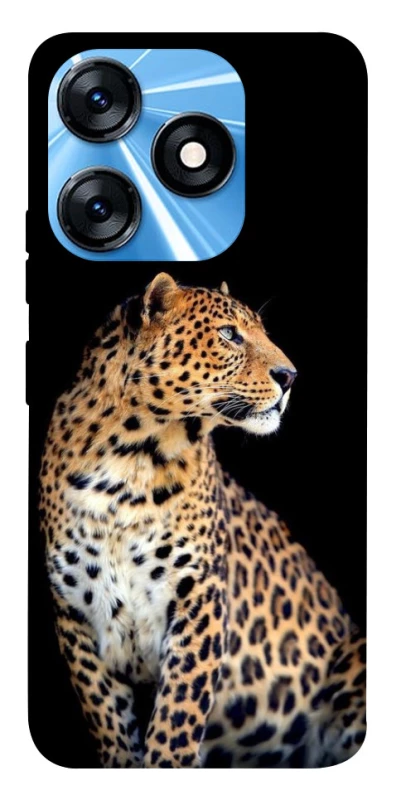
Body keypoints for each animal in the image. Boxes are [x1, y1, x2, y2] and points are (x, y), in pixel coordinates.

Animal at [39, 272, 366, 768]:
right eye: (229, 334)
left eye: (262, 331)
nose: (290, 376)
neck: (129, 460)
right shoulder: (76, 615)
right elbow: (111, 726)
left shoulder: (200, 599)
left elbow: (176, 721)